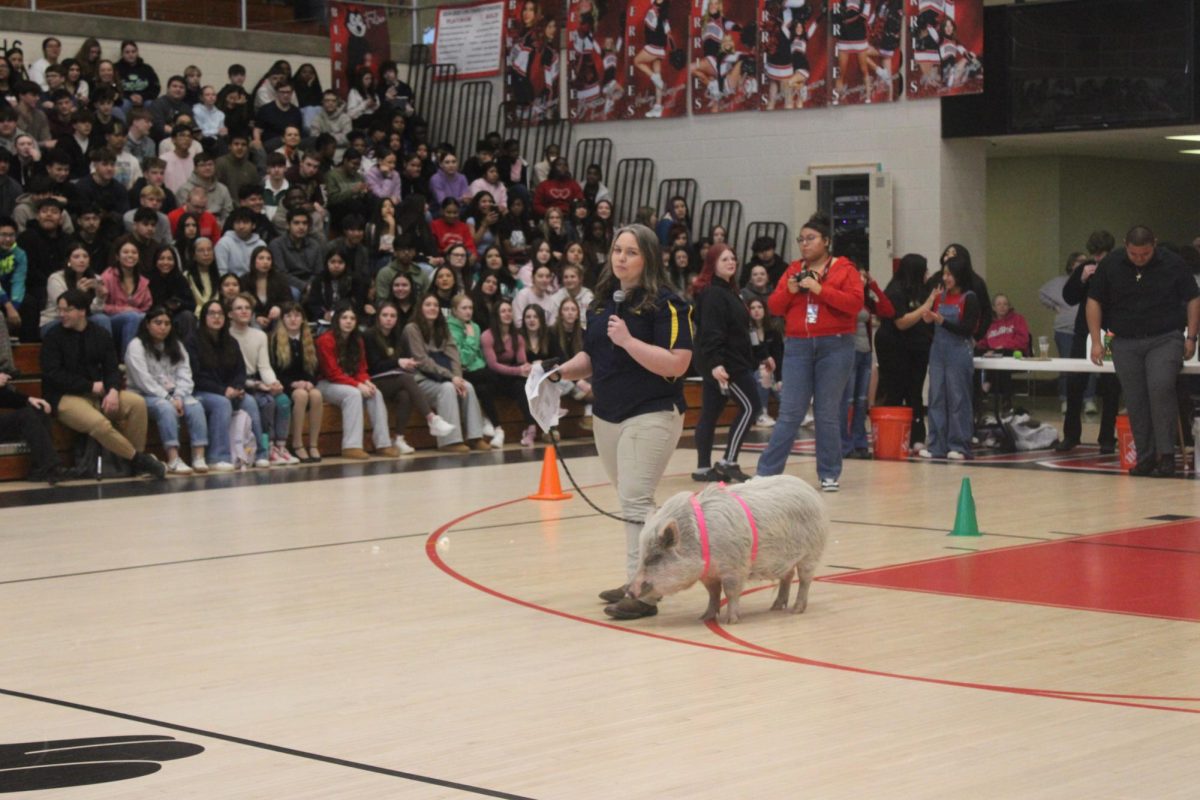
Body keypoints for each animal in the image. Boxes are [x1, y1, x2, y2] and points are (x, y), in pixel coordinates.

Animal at [628, 474, 825, 623]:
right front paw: (704, 618)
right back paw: (775, 607)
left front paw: (731, 621)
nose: (629, 591)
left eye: (654, 557)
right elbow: (713, 594)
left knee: (805, 579)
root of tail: (810, 491)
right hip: (786, 558)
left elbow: (731, 593)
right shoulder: (708, 574)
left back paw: (796, 610)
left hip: (811, 553)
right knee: (788, 576)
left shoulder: (735, 568)